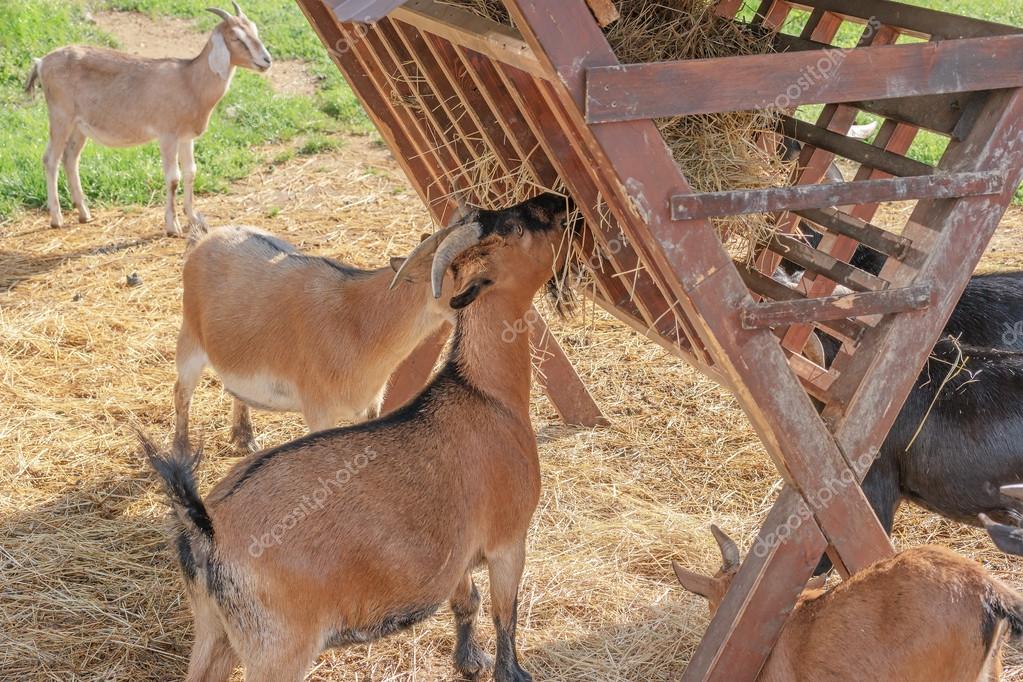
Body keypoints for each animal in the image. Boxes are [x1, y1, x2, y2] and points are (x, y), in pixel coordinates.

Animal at [25, 3, 270, 235]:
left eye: (254, 29)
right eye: (236, 37)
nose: (266, 60)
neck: (189, 80)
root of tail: (41, 62)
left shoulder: (186, 137)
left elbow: (191, 172)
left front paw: (192, 218)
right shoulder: (167, 136)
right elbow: (173, 178)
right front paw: (172, 227)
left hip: (79, 126)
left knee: (70, 158)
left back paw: (84, 214)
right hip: (60, 117)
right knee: (50, 159)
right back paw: (56, 218)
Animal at [173, 223, 456, 455]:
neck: (359, 322)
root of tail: (206, 238)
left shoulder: (370, 407)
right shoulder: (319, 411)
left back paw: (245, 440)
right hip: (190, 337)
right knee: (181, 390)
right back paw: (182, 451)